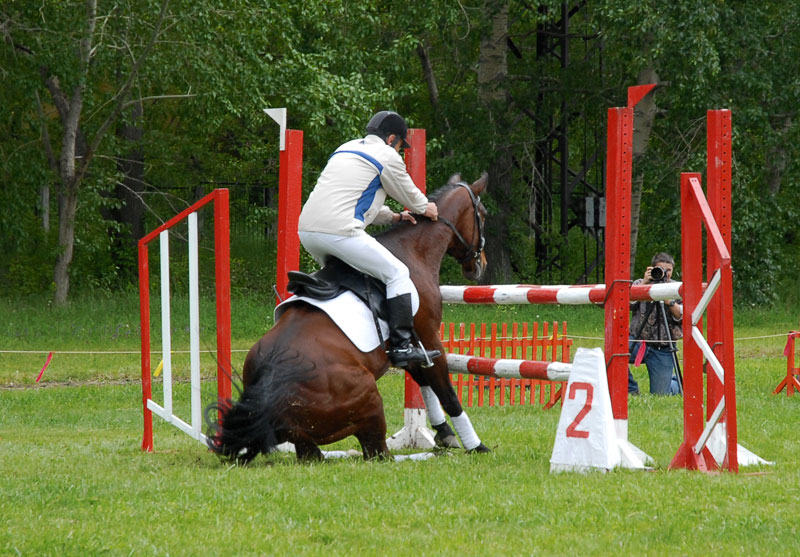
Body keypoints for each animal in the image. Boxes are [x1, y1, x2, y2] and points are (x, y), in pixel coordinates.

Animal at [206, 173, 490, 460]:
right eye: (483, 214)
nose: (481, 266)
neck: (413, 249)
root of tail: (267, 391)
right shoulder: (427, 337)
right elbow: (446, 392)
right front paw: (475, 445)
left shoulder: (409, 346)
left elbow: (426, 385)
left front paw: (444, 433)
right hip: (369, 395)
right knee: (378, 454)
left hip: (304, 433)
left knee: (315, 455)